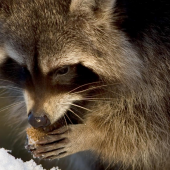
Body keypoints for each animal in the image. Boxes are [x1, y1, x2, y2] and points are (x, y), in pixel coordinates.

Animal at [0, 0, 170, 169]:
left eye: (63, 70)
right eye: (23, 69)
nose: (37, 119)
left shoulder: (158, 62)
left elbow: (150, 124)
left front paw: (92, 133)